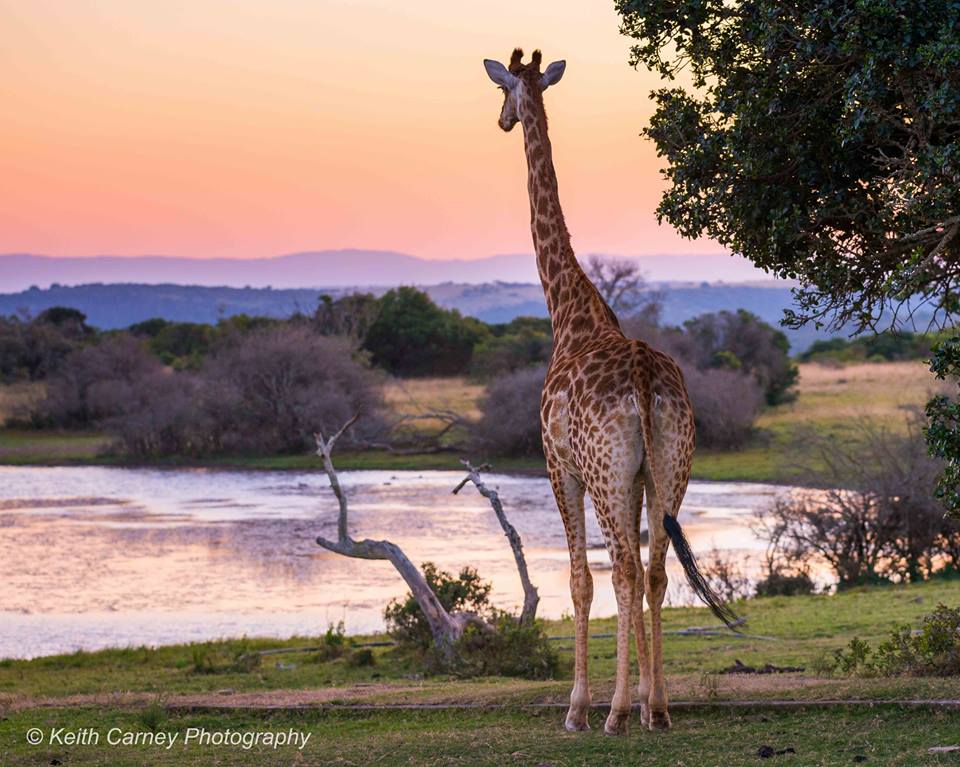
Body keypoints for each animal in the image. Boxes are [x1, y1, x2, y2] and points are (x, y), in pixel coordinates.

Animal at [484, 51, 740, 736]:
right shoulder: (642, 473)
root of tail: (648, 382)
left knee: (623, 567)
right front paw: (648, 698)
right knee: (654, 569)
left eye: (504, 91)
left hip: (605, 473)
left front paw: (579, 706)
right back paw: (658, 708)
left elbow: (579, 580)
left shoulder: (559, 467)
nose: (501, 121)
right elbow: (641, 573)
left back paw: (615, 714)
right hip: (672, 466)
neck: (572, 316)